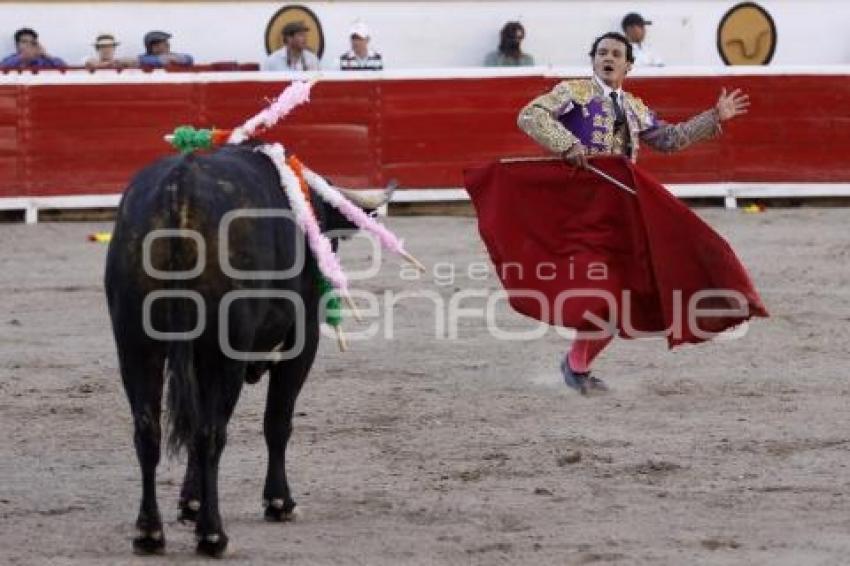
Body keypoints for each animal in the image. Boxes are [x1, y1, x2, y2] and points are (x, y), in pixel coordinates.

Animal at [105, 144, 368, 556]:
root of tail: (181, 185)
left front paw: (190, 502)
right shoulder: (302, 338)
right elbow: (277, 421)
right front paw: (279, 502)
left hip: (134, 344)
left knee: (148, 431)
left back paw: (149, 533)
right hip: (221, 352)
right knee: (211, 433)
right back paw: (213, 534)